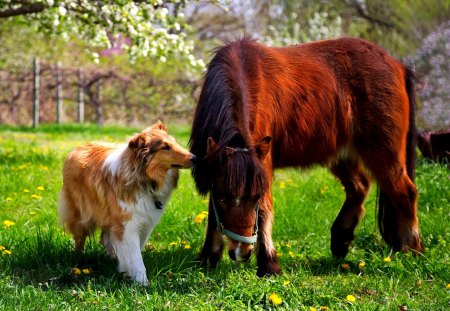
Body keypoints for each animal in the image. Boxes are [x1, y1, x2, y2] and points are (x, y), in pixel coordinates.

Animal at [58, 122, 195, 286]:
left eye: (174, 142)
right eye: (165, 147)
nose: (195, 158)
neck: (144, 181)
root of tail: (78, 147)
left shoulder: (144, 223)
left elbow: (132, 251)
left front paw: (126, 271)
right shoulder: (127, 225)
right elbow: (136, 257)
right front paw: (143, 284)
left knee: (105, 238)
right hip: (80, 213)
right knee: (80, 238)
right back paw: (77, 259)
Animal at [189, 37, 422, 276]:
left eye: (254, 197)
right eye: (222, 197)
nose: (242, 252)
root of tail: (398, 66)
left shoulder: (263, 164)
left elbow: (264, 210)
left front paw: (269, 265)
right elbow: (213, 215)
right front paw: (207, 258)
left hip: (383, 152)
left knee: (405, 192)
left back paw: (412, 250)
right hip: (341, 154)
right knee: (360, 185)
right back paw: (341, 240)